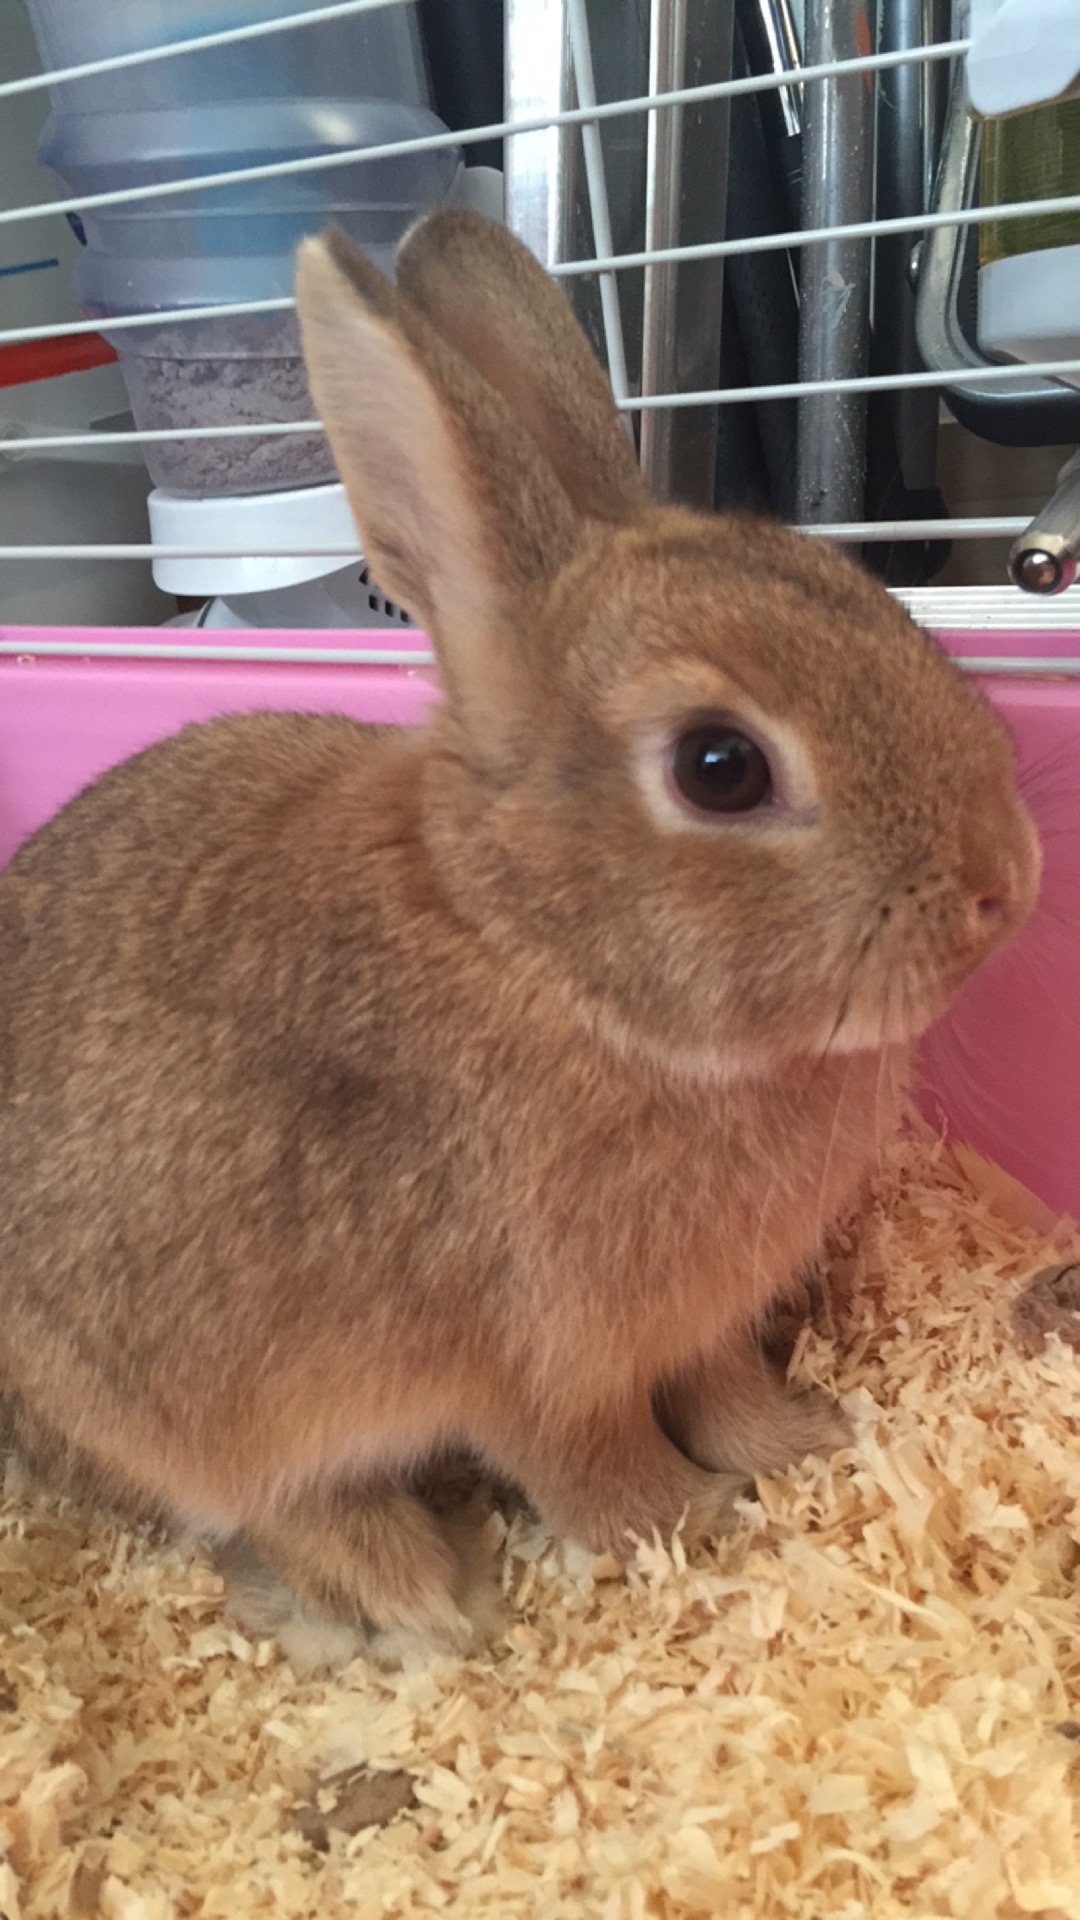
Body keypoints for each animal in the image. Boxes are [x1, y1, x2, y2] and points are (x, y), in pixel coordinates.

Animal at [0, 209, 1040, 1661]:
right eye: (720, 768)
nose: (1011, 881)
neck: (547, 961)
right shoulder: (537, 1364)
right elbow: (591, 1468)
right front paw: (695, 1528)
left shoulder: (691, 1327)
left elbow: (721, 1388)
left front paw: (801, 1445)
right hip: (156, 1402)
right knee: (266, 1505)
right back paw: (419, 1589)